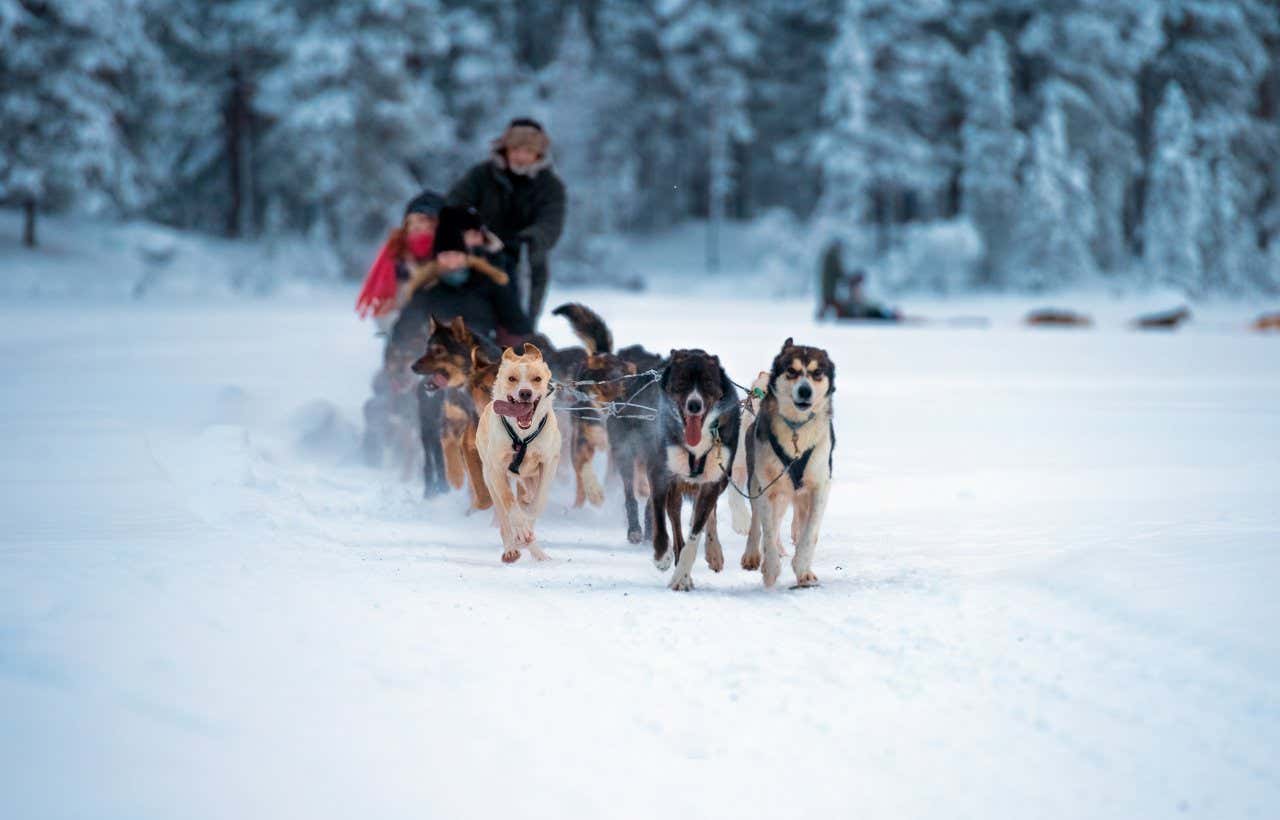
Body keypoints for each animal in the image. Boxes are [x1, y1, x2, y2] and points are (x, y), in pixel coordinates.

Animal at [476, 342, 560, 560]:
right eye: (512, 378)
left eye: (537, 379)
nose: (525, 393)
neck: (523, 436)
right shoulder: (497, 469)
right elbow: (509, 501)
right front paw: (521, 530)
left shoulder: (549, 462)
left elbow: (538, 503)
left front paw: (528, 525)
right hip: (489, 479)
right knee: (504, 518)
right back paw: (511, 549)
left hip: (530, 479)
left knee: (530, 500)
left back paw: (538, 553)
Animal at [645, 345, 747, 588]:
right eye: (682, 381)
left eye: (708, 382)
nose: (694, 405)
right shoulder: (659, 473)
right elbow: (659, 519)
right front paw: (662, 557)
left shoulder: (712, 482)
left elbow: (695, 536)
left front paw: (680, 577)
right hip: (675, 487)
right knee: (673, 517)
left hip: (717, 481)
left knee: (707, 517)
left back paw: (713, 552)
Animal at [737, 337, 834, 588]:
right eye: (791, 370)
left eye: (817, 373)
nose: (805, 390)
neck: (796, 431)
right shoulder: (766, 488)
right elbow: (767, 530)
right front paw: (770, 568)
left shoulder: (819, 487)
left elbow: (810, 533)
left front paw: (803, 569)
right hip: (760, 485)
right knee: (758, 523)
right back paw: (753, 554)